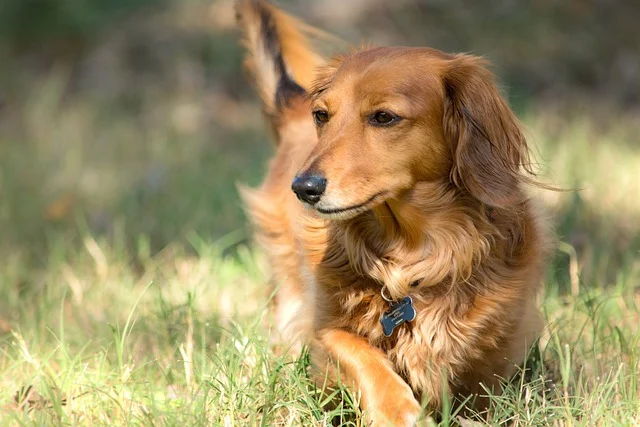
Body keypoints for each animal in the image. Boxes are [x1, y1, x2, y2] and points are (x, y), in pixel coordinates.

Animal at [235, 1, 552, 426]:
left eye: (383, 117)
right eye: (322, 115)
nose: (303, 187)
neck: (414, 255)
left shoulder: (497, 352)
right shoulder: (326, 327)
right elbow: (357, 352)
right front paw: (395, 408)